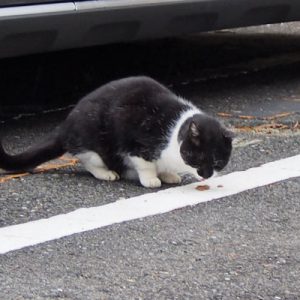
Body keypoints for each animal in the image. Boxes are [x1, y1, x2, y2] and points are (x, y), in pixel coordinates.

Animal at [0, 75, 232, 188]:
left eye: (217, 162)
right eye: (197, 157)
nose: (206, 175)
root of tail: (64, 126)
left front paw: (168, 174)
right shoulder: (135, 140)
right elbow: (145, 164)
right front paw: (151, 178)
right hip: (92, 140)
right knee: (89, 161)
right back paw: (107, 173)